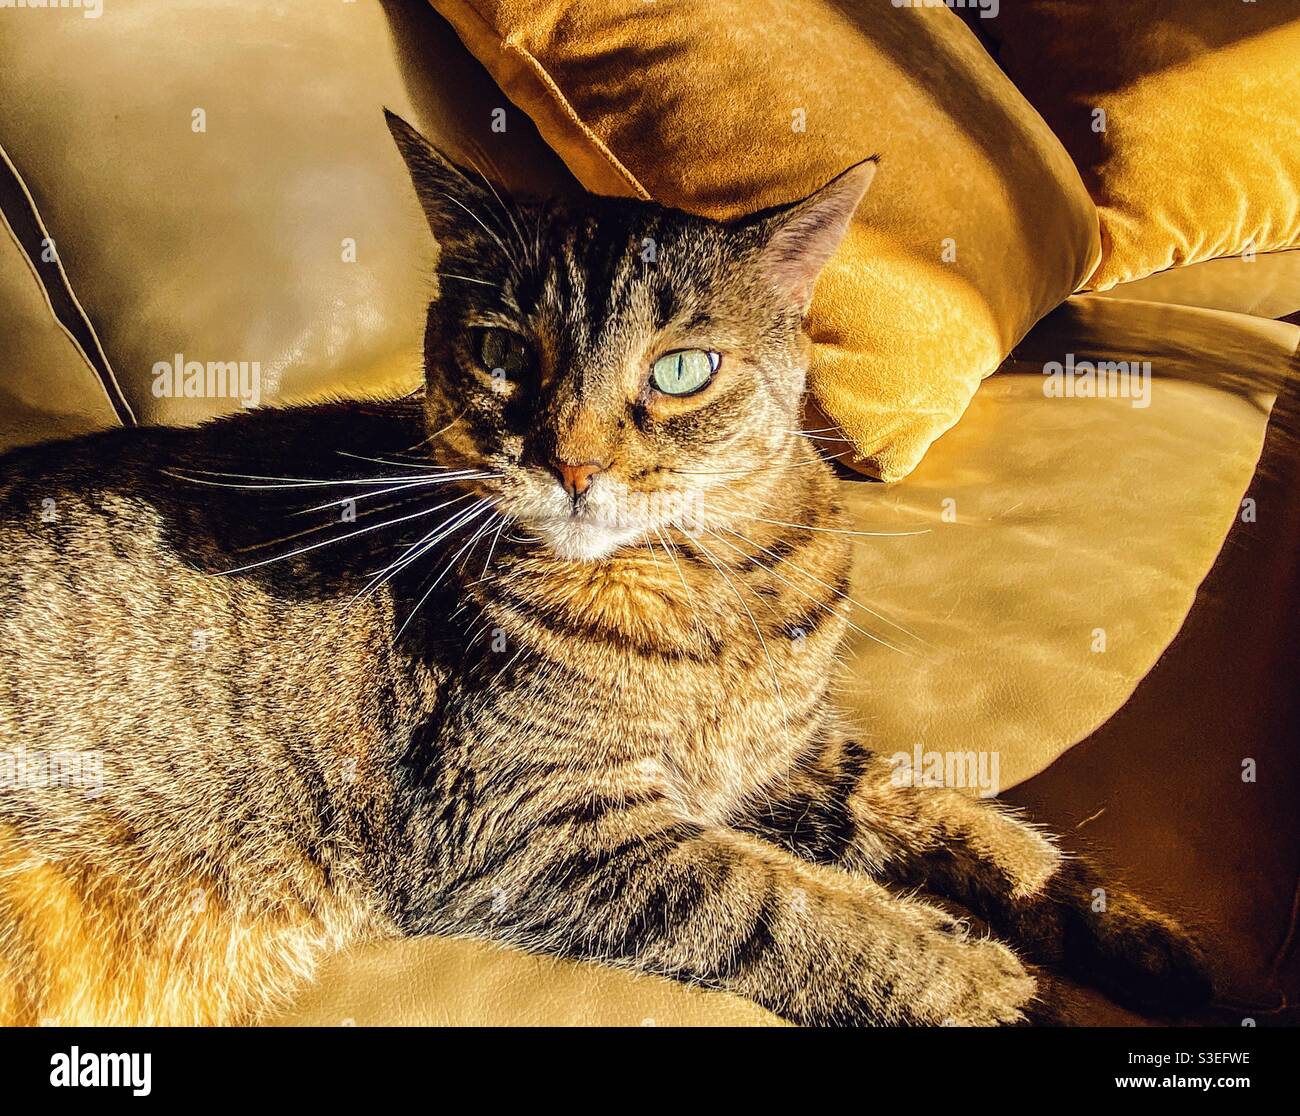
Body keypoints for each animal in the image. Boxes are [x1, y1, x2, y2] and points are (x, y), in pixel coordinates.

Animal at [0, 111, 1206, 1019]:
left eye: (680, 370)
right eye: (500, 353)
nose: (571, 462)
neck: (719, 590)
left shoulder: (792, 758)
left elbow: (957, 813)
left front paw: (1118, 925)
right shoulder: (531, 827)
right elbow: (787, 902)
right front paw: (973, 976)